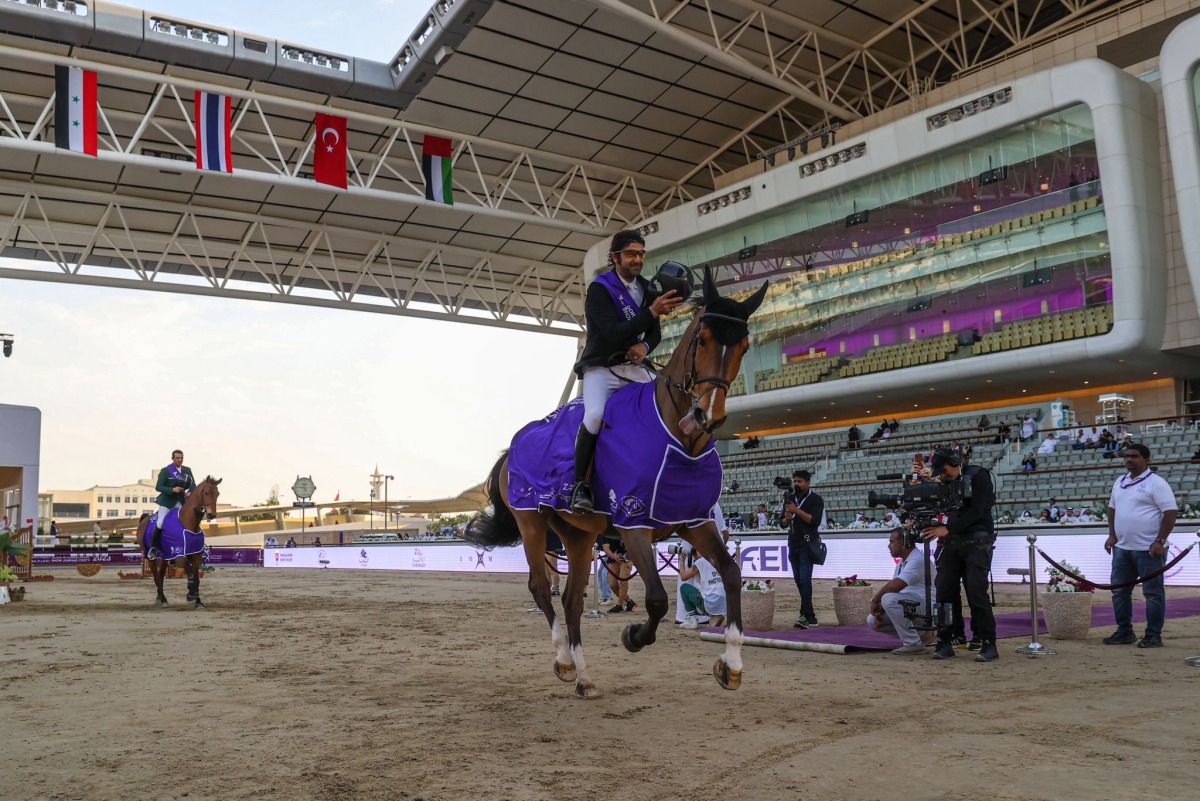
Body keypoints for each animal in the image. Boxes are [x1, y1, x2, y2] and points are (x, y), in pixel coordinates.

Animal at [137, 472, 222, 609]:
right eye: (206, 492)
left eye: (217, 494)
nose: (212, 515)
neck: (188, 524)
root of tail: (145, 519)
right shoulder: (179, 555)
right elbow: (189, 571)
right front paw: (190, 594)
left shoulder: (196, 555)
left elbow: (196, 579)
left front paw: (198, 601)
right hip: (150, 557)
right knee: (156, 576)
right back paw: (163, 599)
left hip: (164, 556)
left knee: (161, 575)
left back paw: (160, 598)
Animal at [463, 267, 763, 695]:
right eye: (702, 339)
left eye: (744, 345)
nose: (707, 415)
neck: (678, 438)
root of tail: (516, 444)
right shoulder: (632, 522)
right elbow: (656, 599)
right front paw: (634, 636)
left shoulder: (695, 521)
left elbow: (733, 575)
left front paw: (731, 664)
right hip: (532, 523)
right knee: (540, 588)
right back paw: (563, 659)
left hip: (578, 535)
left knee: (572, 599)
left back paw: (584, 676)